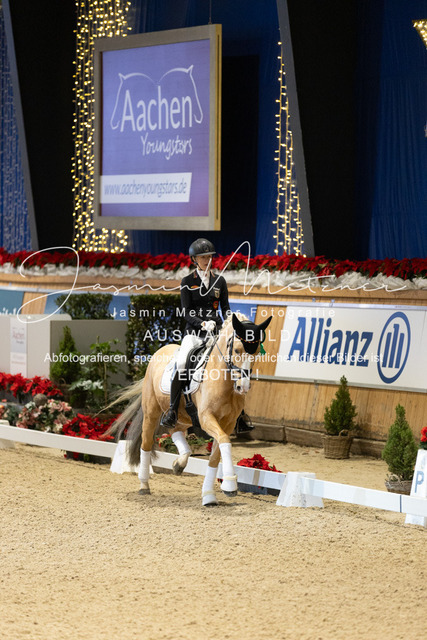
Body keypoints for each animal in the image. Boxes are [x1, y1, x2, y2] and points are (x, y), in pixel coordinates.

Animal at [107, 312, 272, 506]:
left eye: (256, 352)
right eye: (237, 350)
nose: (243, 387)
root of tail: (161, 350)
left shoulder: (228, 423)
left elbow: (215, 456)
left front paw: (209, 496)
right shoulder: (207, 418)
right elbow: (225, 441)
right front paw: (230, 485)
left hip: (182, 416)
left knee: (175, 431)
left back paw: (179, 463)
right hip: (151, 413)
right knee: (146, 443)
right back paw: (144, 485)